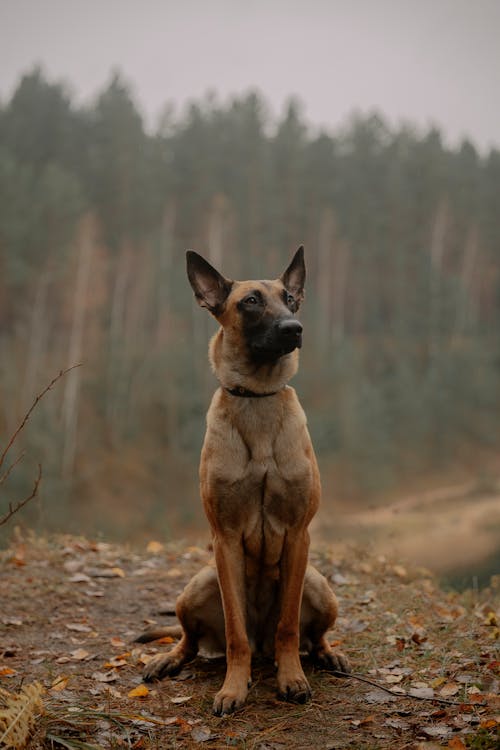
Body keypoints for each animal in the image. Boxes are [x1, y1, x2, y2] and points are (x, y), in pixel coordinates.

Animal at [140, 247, 352, 716]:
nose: (294, 328)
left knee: (313, 636)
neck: (257, 401)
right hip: (198, 585)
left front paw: (291, 678)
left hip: (318, 585)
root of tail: (262, 647)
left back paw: (326, 655)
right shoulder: (225, 539)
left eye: (290, 299)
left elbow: (289, 625)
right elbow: (235, 630)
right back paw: (169, 660)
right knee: (192, 640)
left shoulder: (298, 535)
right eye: (251, 301)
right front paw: (234, 687)